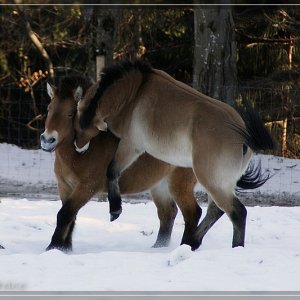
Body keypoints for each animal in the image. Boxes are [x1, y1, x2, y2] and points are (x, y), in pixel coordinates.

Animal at [39, 74, 203, 251]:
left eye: (70, 113)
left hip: (179, 185)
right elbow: (70, 216)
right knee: (167, 213)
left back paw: (186, 246)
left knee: (193, 213)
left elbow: (65, 214)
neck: (79, 154)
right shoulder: (64, 186)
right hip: (159, 186)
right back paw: (158, 247)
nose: (47, 140)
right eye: (49, 109)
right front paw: (65, 248)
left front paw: (53, 246)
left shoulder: (86, 188)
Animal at [74, 59, 276, 248]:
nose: (78, 146)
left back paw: (232, 247)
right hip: (219, 183)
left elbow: (112, 171)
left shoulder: (131, 145)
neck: (134, 94)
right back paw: (190, 242)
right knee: (215, 211)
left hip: (212, 182)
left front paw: (115, 209)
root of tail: (243, 136)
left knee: (237, 213)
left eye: (78, 113)